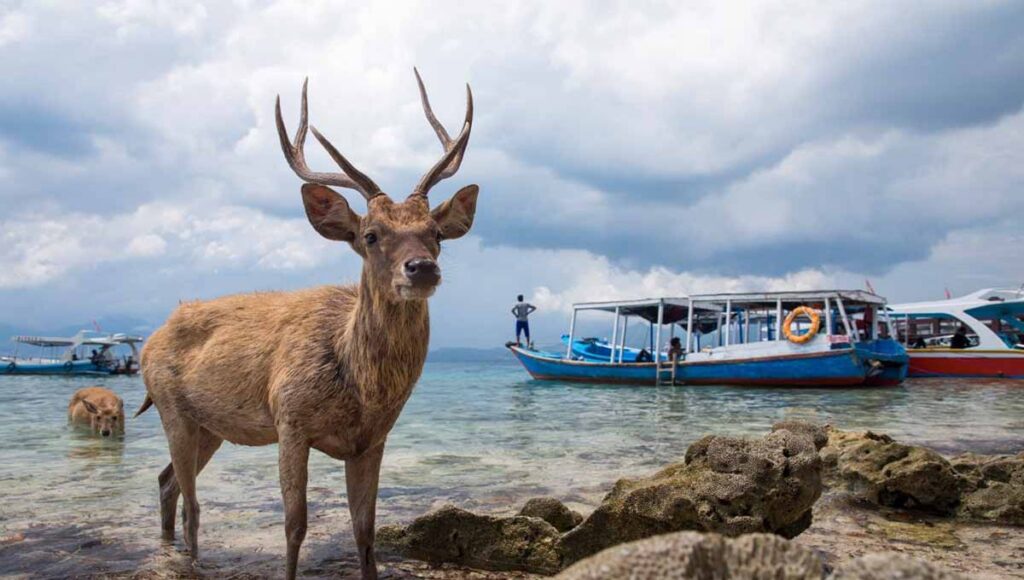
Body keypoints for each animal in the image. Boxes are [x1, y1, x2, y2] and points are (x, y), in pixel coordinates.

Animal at [135, 69, 479, 580]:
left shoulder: (371, 441)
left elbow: (365, 531)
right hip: (170, 406)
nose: (421, 268)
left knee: (166, 483)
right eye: (370, 235)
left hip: (209, 425)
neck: (359, 388)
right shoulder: (290, 419)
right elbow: (295, 525)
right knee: (192, 502)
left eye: (436, 234)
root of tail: (148, 341)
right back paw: (191, 561)